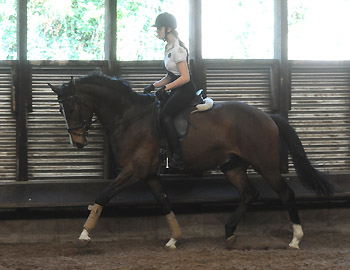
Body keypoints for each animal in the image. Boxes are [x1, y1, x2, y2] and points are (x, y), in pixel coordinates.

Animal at [47, 73, 332, 249]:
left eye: (71, 107)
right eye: (61, 110)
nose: (77, 142)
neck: (129, 117)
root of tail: (268, 116)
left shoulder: (133, 171)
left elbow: (103, 196)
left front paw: (84, 235)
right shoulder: (149, 175)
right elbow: (164, 203)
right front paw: (174, 239)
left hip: (265, 163)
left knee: (286, 193)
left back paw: (295, 239)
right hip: (232, 166)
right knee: (249, 194)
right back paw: (229, 232)